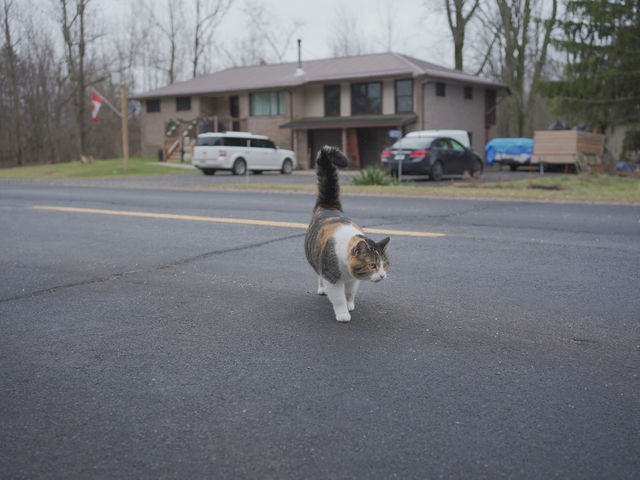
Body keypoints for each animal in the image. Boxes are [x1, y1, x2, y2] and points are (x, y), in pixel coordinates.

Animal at [304, 146, 390, 322]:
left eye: (384, 265)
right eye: (372, 265)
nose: (382, 275)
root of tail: (328, 206)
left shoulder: (353, 280)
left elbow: (350, 292)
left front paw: (350, 305)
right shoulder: (331, 277)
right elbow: (338, 297)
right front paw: (343, 313)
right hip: (317, 260)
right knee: (319, 274)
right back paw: (322, 289)